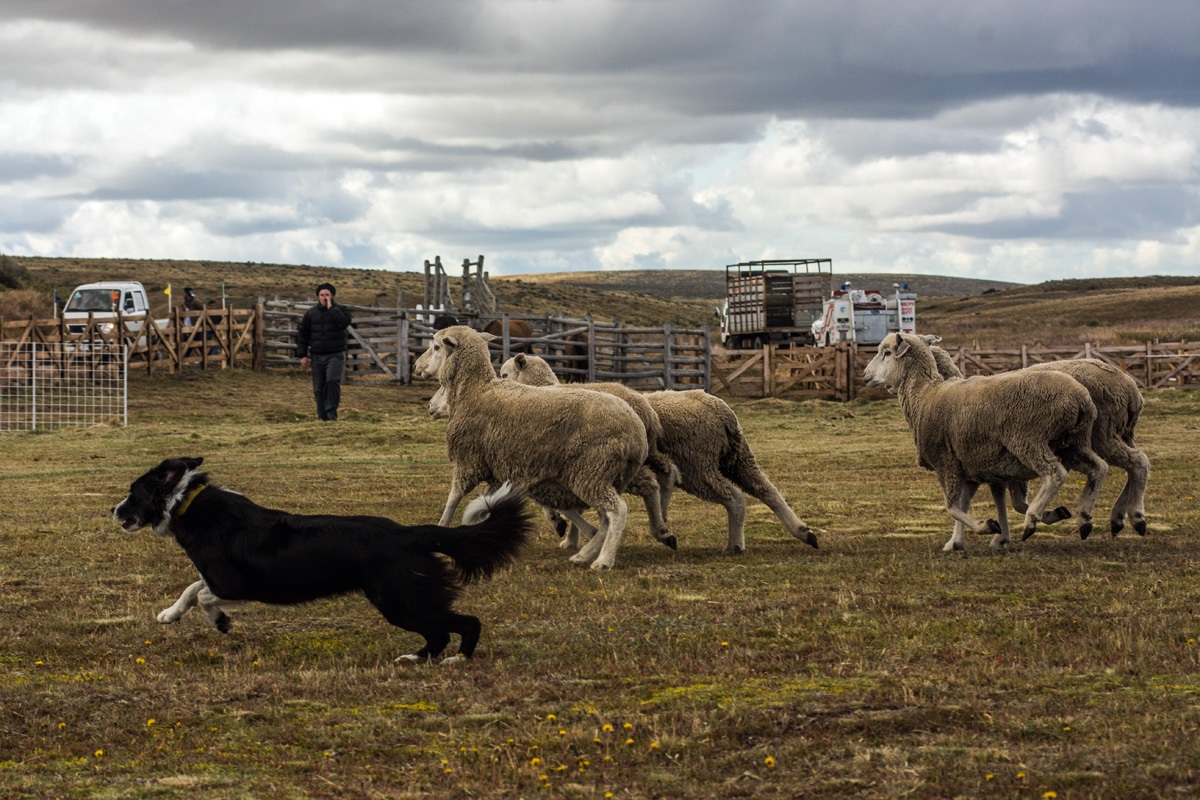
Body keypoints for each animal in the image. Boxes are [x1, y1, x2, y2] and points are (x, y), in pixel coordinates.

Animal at [415, 326, 657, 568]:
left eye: (436, 347)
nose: (417, 366)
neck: (475, 390)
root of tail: (638, 430)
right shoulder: (497, 469)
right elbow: (484, 502)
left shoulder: (469, 461)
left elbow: (453, 498)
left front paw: (441, 530)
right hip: (603, 475)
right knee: (606, 517)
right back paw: (585, 554)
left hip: (591, 471)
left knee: (617, 511)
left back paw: (604, 560)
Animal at [496, 352, 816, 554]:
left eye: (504, 373)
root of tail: (718, 408)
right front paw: (572, 539)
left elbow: (561, 505)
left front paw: (566, 530)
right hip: (738, 457)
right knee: (768, 491)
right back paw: (803, 531)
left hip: (697, 465)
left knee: (732, 497)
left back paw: (730, 544)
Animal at [864, 331, 1104, 551]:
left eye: (887, 353)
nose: (865, 374)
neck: (924, 395)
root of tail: (1080, 398)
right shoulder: (969, 468)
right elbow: (965, 504)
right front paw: (957, 542)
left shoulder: (946, 463)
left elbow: (952, 507)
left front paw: (987, 526)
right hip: (1074, 443)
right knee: (1099, 468)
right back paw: (1083, 518)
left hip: (1028, 440)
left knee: (1056, 474)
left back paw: (1032, 519)